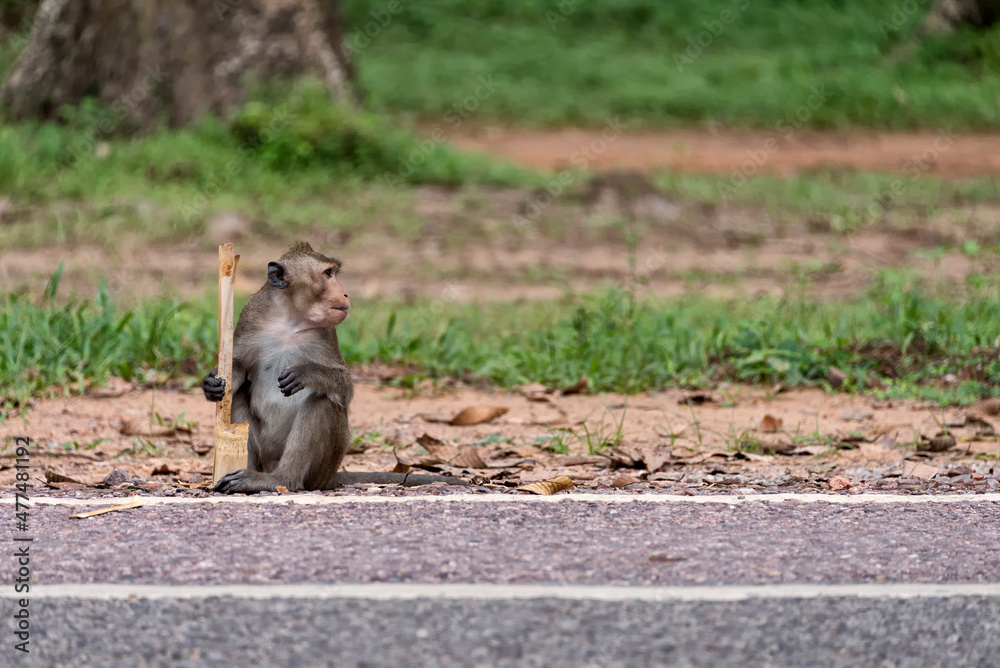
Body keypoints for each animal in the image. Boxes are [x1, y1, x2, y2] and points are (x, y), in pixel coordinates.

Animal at [203, 241, 468, 493]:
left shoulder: (327, 333)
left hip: (320, 470)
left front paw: (307, 373)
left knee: (323, 403)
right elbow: (236, 371)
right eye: (328, 273)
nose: (345, 294)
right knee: (238, 398)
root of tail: (332, 478)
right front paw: (211, 384)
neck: (290, 320)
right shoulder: (250, 318)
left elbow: (344, 388)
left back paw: (280, 480)